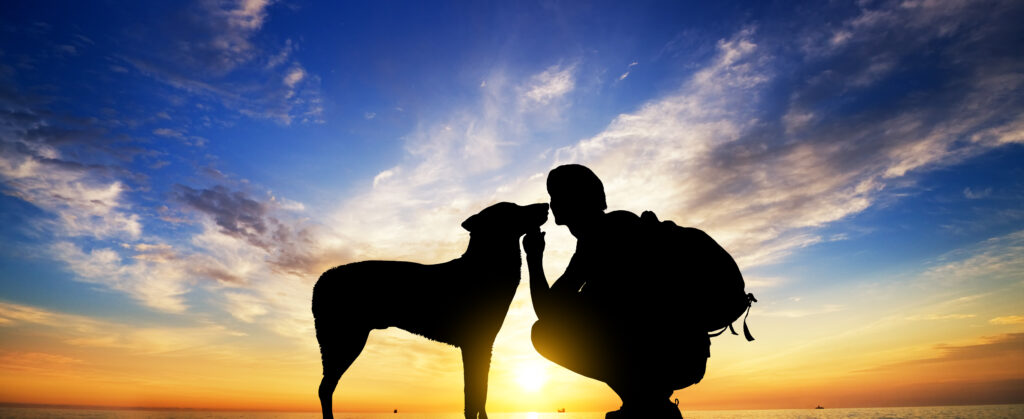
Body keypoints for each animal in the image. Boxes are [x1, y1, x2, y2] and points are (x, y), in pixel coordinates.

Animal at [315, 200, 548, 415]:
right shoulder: (473, 343)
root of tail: (321, 280)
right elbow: (472, 397)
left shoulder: (485, 343)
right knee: (325, 389)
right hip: (344, 341)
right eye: (513, 209)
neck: (486, 268)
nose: (545, 204)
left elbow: (481, 394)